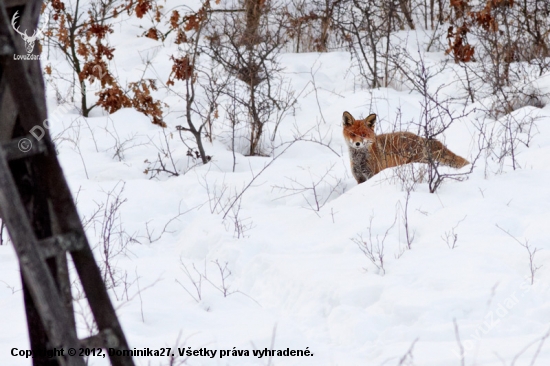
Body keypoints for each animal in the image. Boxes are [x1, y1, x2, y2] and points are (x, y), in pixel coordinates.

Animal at [342, 111, 472, 184]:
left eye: (363, 135)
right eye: (352, 134)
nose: (357, 144)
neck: (359, 160)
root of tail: (420, 138)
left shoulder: (372, 174)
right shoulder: (360, 179)